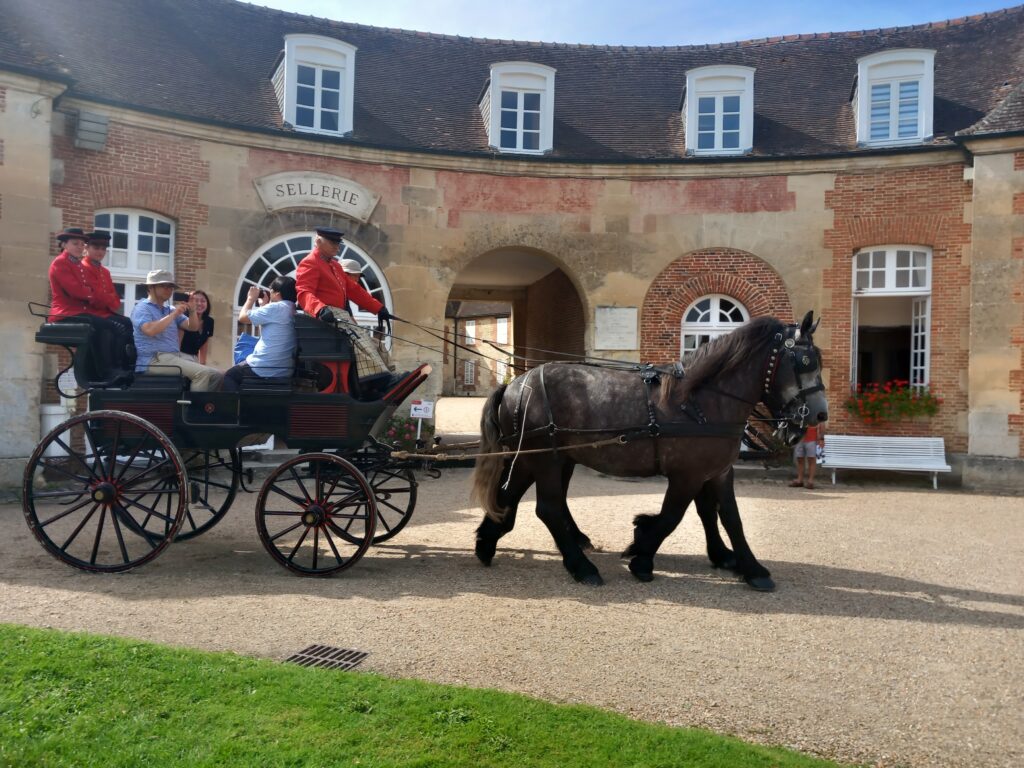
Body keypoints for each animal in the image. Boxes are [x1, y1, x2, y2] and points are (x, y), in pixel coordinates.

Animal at [468, 309, 823, 585]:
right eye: (804, 361)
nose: (820, 414)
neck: (703, 401)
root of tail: (515, 384)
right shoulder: (687, 475)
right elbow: (672, 516)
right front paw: (641, 554)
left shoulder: (717, 471)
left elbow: (727, 517)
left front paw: (746, 565)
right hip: (548, 460)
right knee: (548, 508)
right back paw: (581, 566)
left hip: (532, 457)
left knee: (508, 494)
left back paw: (488, 540)